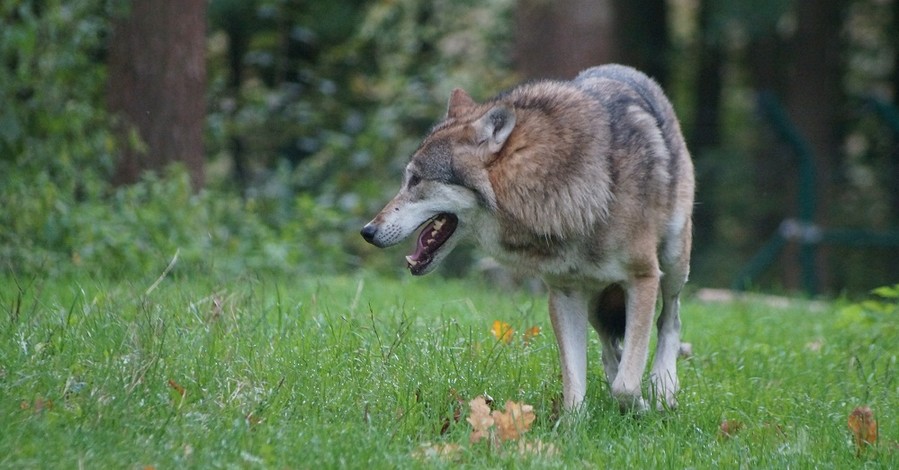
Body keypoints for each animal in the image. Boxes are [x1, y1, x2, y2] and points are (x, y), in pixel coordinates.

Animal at [360, 65, 696, 412]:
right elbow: (575, 388)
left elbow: (626, 386)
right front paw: (576, 425)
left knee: (670, 320)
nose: (367, 231)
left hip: (671, 263)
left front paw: (643, 406)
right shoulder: (564, 292)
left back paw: (663, 387)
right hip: (595, 297)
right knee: (609, 345)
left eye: (415, 180)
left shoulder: (643, 278)